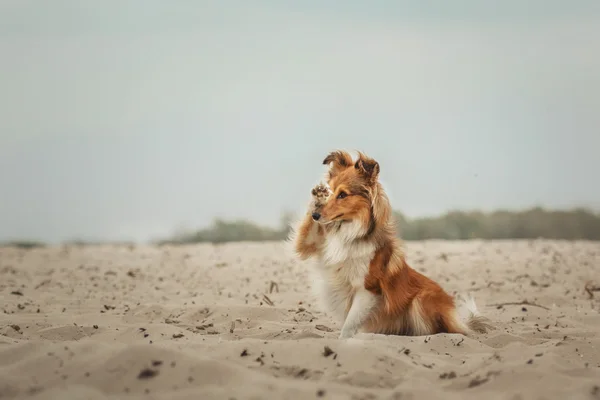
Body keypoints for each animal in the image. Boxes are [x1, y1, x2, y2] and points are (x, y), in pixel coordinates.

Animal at [290, 152, 492, 340]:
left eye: (343, 195)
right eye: (330, 192)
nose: (317, 215)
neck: (348, 229)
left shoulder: (367, 289)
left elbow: (349, 324)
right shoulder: (313, 242)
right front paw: (317, 195)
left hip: (422, 298)